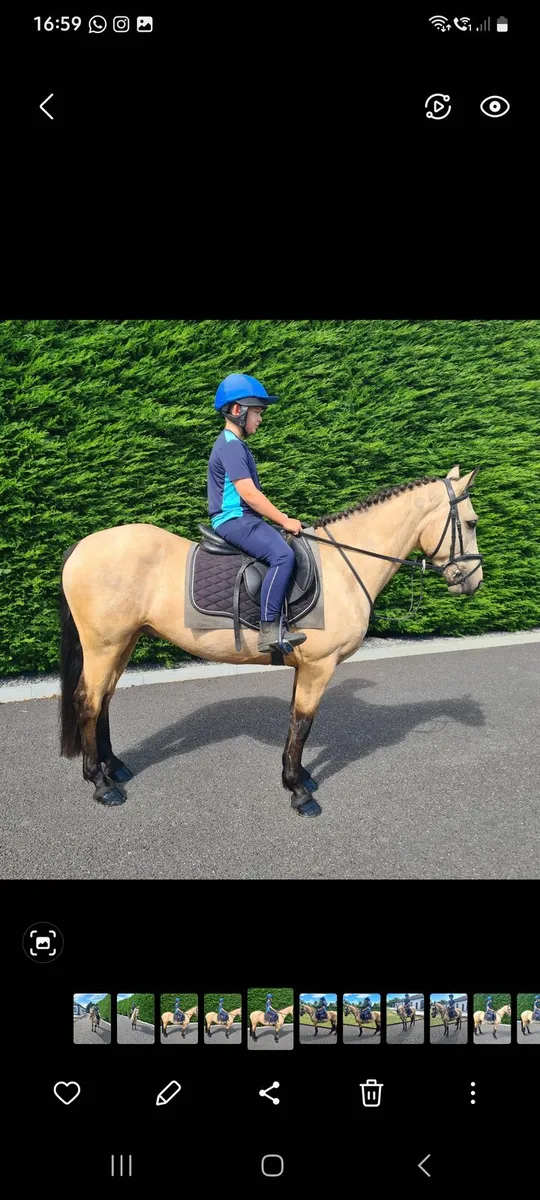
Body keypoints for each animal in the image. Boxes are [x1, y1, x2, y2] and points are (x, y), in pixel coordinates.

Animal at [58, 466, 482, 818]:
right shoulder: (319, 667)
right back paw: (101, 784)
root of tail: (81, 546)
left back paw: (115, 767)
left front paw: (299, 776)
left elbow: (296, 722)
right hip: (104, 645)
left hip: (123, 642)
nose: (474, 581)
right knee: (89, 702)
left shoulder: (305, 667)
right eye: (472, 522)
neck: (342, 566)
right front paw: (299, 792)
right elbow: (303, 723)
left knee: (104, 700)